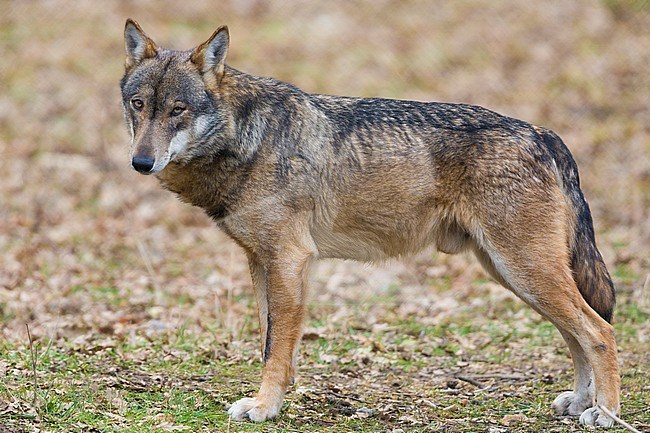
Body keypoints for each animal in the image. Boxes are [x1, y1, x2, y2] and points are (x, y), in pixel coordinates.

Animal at [120, 20, 616, 426]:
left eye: (178, 110)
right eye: (138, 105)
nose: (141, 163)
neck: (247, 138)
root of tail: (543, 135)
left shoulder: (290, 259)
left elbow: (275, 346)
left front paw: (264, 406)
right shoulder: (262, 262)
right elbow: (273, 342)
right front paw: (277, 398)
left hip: (525, 272)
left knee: (600, 331)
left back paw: (605, 413)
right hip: (514, 275)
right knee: (577, 333)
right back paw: (579, 402)